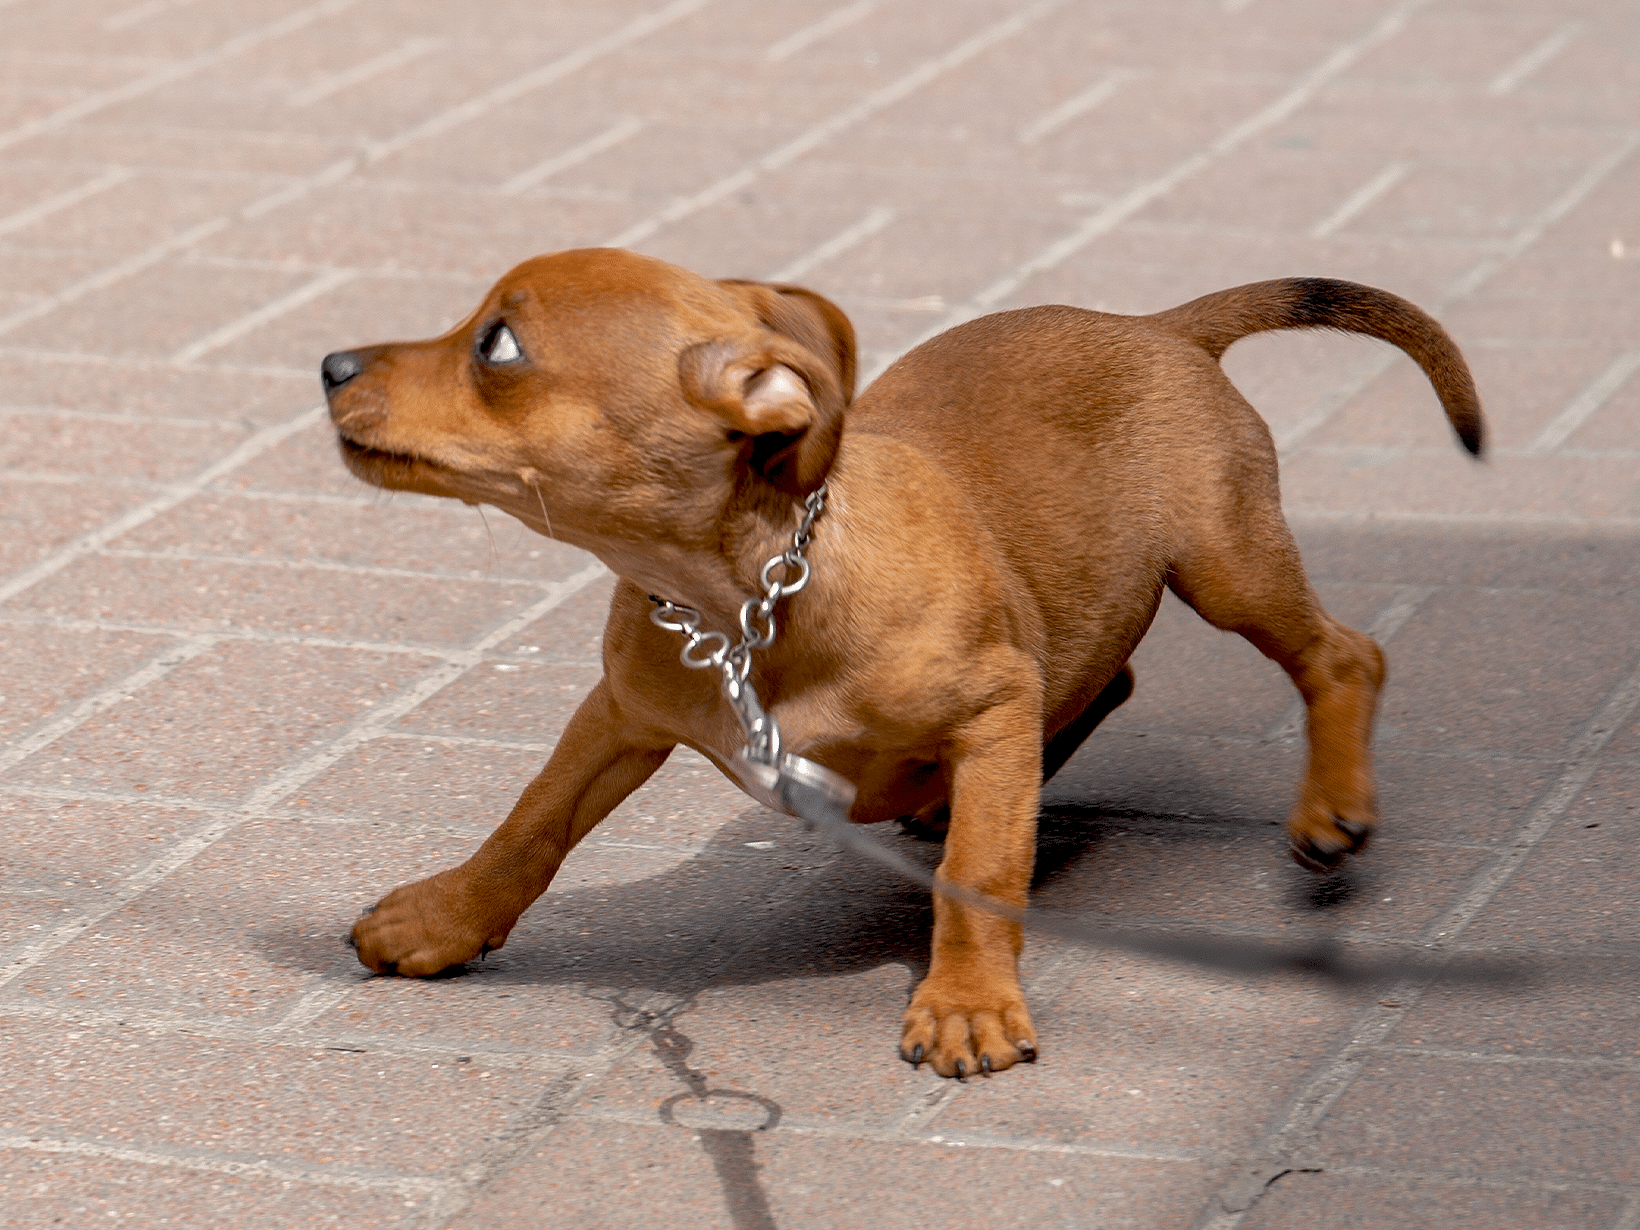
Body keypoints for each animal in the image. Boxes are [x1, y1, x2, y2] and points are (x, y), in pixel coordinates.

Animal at [319, 250, 1489, 1075]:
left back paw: (1329, 806)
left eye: (497, 347)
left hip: (1225, 563)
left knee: (1341, 655)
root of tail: (1161, 328)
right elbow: (530, 823)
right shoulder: (619, 712)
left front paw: (967, 1004)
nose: (328, 363)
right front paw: (445, 919)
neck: (748, 605)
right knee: (1102, 679)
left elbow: (981, 870)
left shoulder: (990, 704)